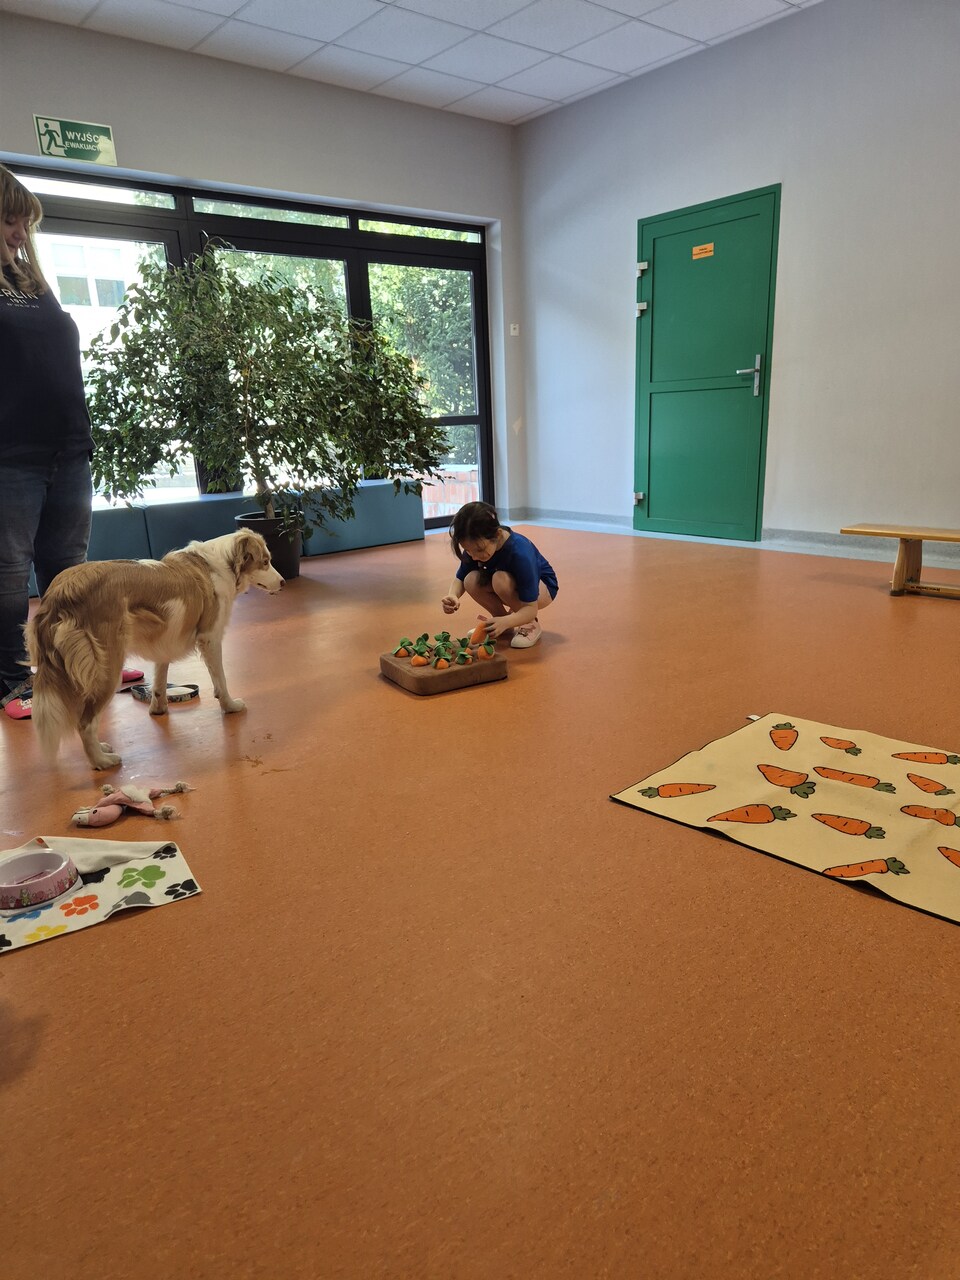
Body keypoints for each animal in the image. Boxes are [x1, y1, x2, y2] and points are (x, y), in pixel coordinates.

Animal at [26, 529, 283, 770]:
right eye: (265, 561)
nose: (282, 583)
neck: (221, 564)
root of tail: (59, 592)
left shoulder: (165, 640)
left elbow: (160, 681)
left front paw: (158, 708)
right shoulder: (210, 638)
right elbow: (221, 680)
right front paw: (230, 706)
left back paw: (101, 749)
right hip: (107, 668)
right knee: (84, 723)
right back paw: (101, 761)